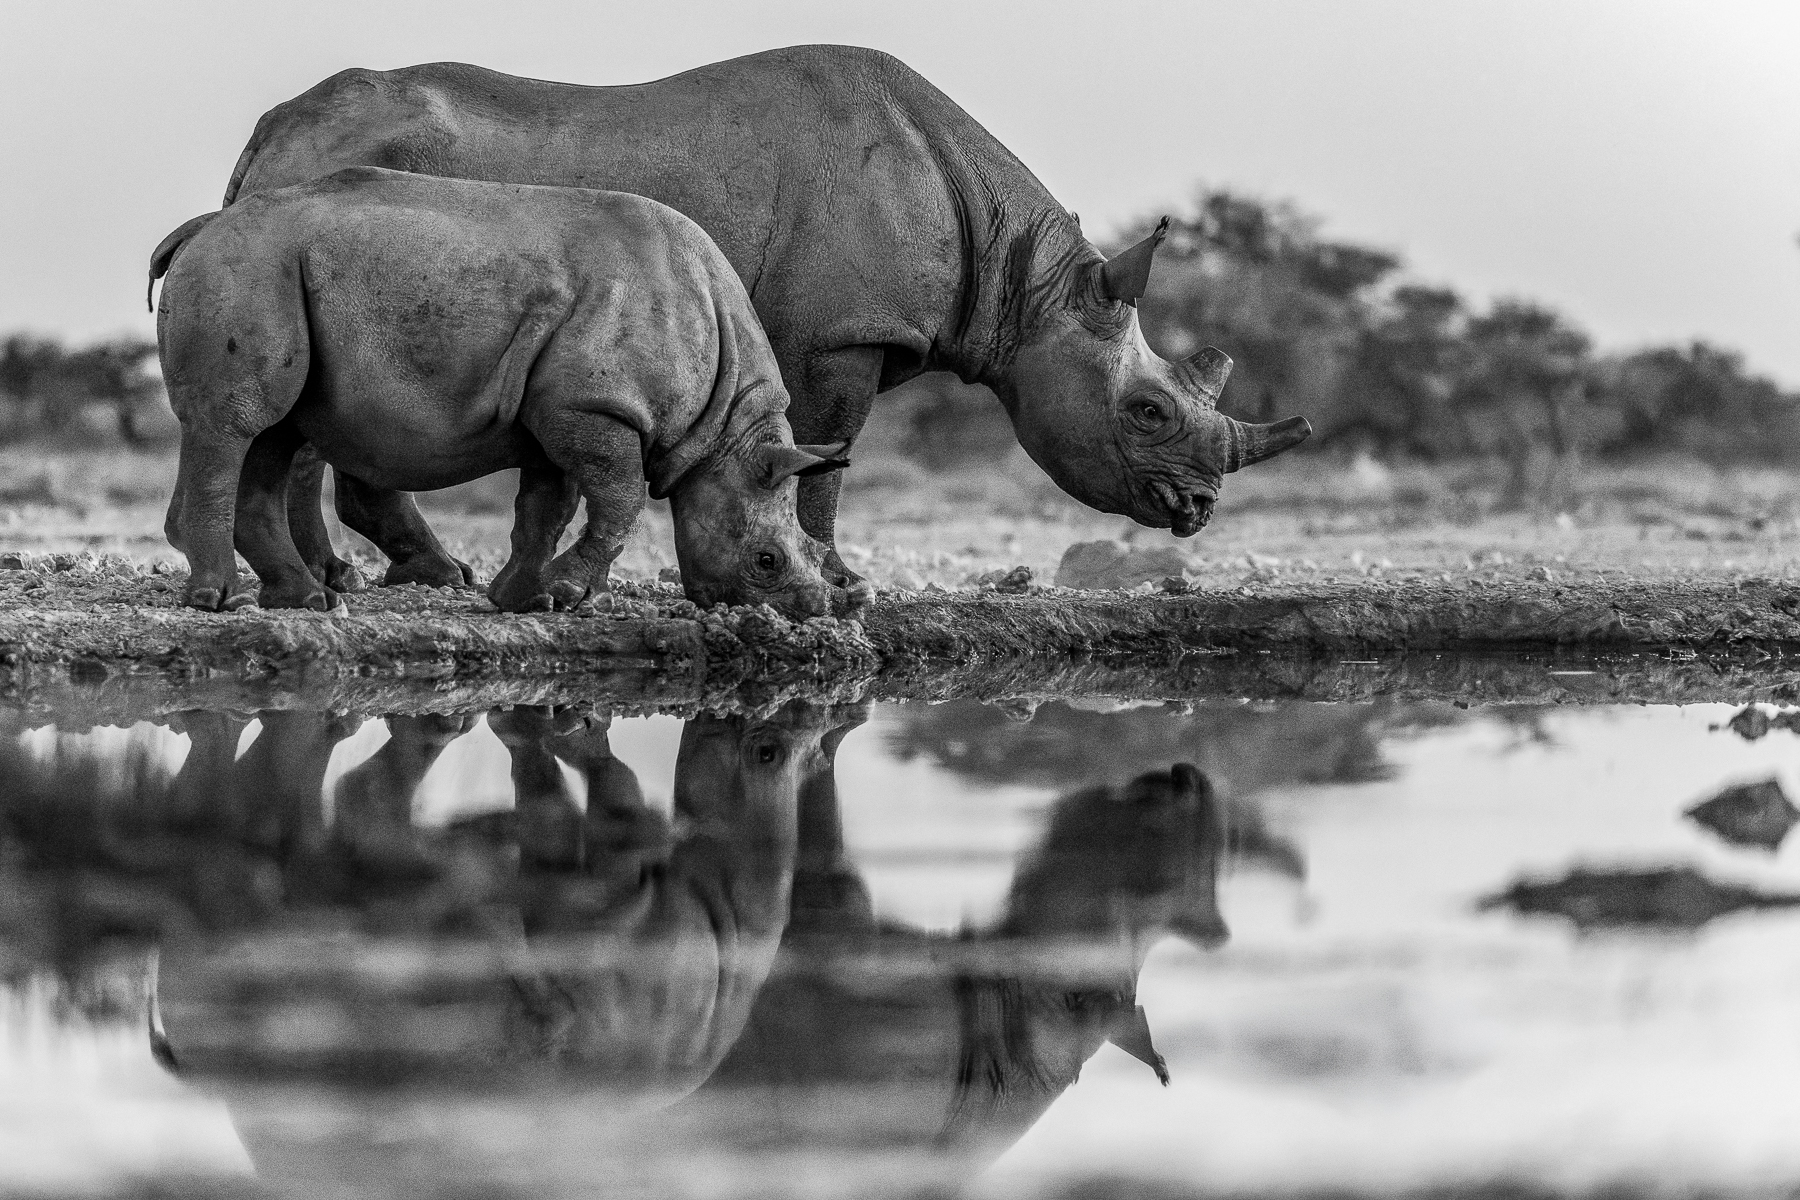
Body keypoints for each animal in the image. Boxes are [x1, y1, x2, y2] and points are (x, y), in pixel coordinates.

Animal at [151, 166, 848, 614]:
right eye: (766, 561)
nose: (810, 608)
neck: (725, 430)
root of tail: (199, 228)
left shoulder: (556, 410)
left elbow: (547, 505)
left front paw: (523, 600)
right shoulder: (594, 407)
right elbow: (618, 499)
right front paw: (567, 595)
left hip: (267, 266)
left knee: (274, 434)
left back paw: (305, 602)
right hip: (250, 267)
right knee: (238, 424)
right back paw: (224, 601)